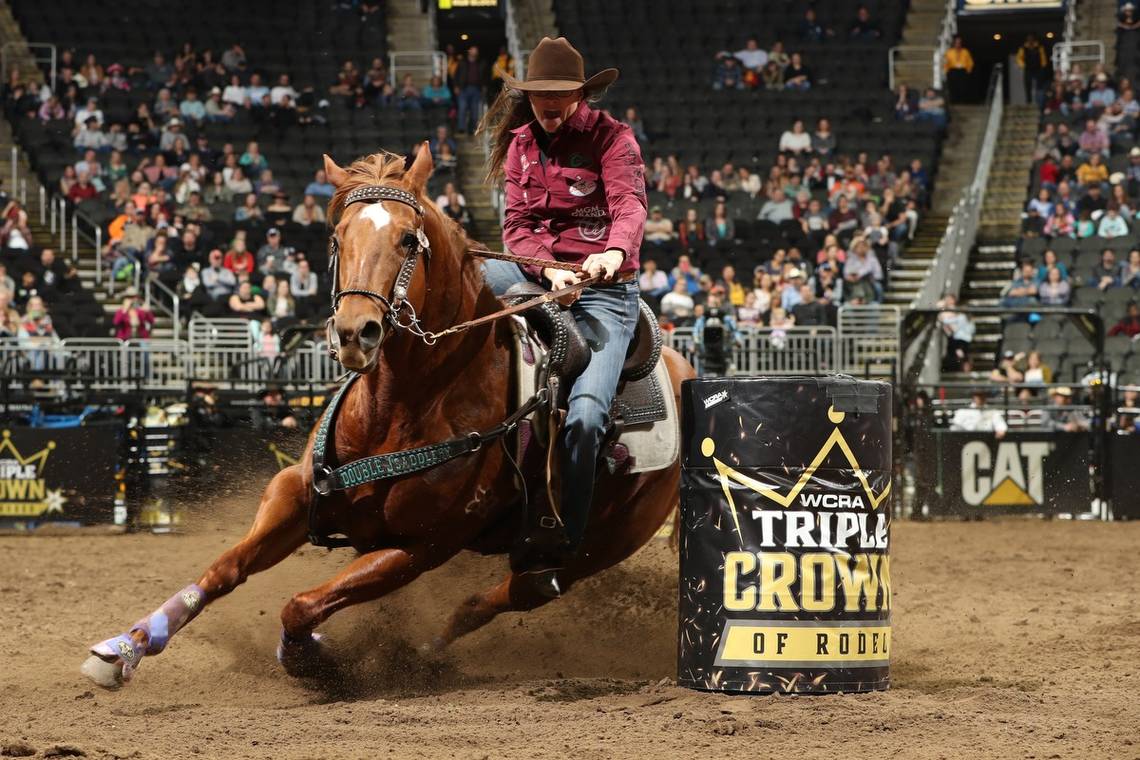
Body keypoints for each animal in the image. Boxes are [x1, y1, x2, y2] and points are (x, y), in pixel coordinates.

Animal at [80, 144, 693, 688]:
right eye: (336, 238)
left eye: (406, 240)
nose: (356, 332)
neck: (403, 405)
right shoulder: (295, 491)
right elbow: (224, 568)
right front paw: (127, 647)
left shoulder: (418, 547)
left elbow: (301, 606)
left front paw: (315, 659)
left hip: (586, 551)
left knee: (501, 597)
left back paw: (425, 655)